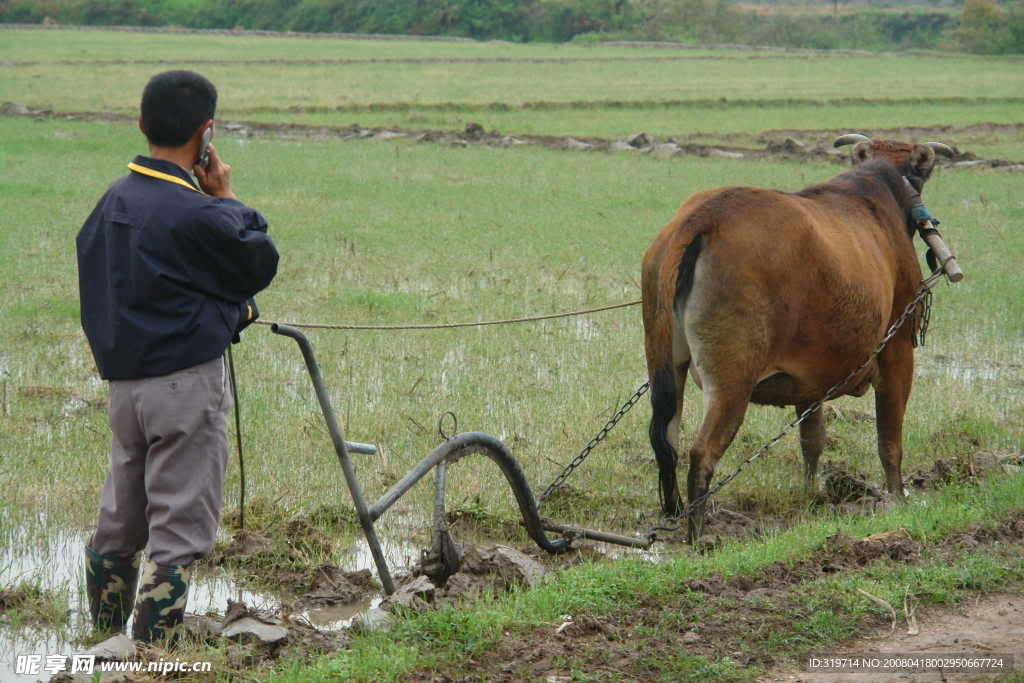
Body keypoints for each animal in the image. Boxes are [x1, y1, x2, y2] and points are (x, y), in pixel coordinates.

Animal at [643, 135, 954, 540]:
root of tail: (707, 213)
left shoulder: (810, 380)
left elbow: (813, 439)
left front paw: (810, 496)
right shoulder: (897, 349)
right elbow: (889, 439)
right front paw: (897, 501)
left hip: (666, 366)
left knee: (667, 443)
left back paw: (674, 515)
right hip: (732, 381)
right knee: (701, 453)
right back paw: (697, 537)